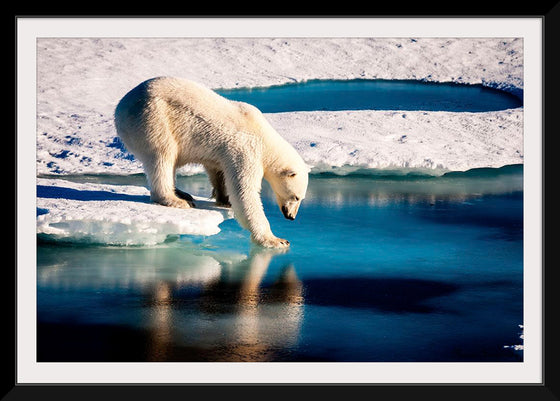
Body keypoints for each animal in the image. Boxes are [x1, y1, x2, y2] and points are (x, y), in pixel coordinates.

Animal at [112, 76, 308, 247]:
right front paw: (276, 240)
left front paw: (224, 199)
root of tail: (120, 107)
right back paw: (176, 200)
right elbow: (245, 192)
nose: (291, 216)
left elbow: (218, 171)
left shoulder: (223, 153)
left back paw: (182, 193)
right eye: (296, 197)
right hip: (153, 119)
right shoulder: (246, 150)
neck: (264, 137)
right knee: (162, 156)